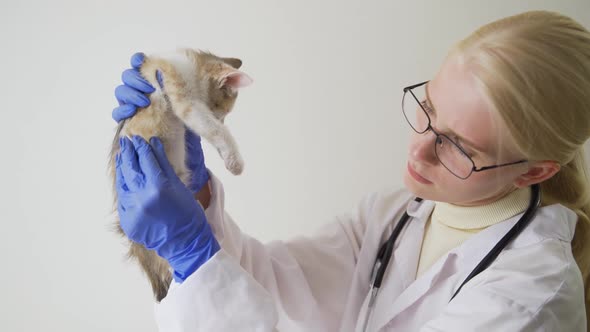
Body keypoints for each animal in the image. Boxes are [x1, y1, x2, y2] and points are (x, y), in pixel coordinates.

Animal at [108, 48, 252, 300]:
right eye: (220, 112)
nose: (222, 118)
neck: (191, 66)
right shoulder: (183, 95)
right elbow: (213, 129)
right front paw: (235, 161)